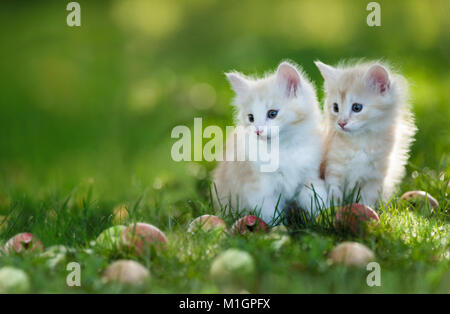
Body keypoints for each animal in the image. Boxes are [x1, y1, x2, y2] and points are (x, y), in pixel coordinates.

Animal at [213, 62, 326, 223]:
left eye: (272, 114)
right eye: (251, 118)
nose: (258, 130)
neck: (284, 147)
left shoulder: (309, 179)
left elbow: (319, 201)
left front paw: (326, 219)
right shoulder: (260, 190)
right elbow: (272, 216)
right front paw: (279, 228)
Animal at [314, 60, 416, 207]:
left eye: (357, 107)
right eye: (335, 107)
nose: (341, 123)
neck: (360, 141)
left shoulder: (375, 177)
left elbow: (367, 199)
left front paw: (367, 210)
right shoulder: (334, 168)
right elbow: (334, 193)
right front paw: (332, 210)